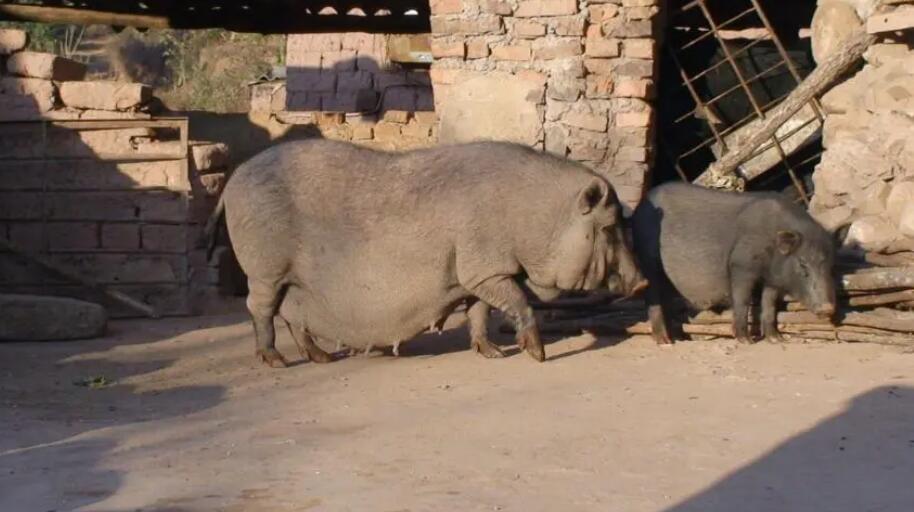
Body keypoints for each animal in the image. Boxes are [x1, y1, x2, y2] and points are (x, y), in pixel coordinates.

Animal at [628, 182, 832, 346]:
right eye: (803, 264)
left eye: (830, 265)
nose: (828, 309)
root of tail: (639, 207)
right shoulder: (740, 264)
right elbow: (743, 300)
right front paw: (746, 341)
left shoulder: (773, 278)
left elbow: (769, 303)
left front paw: (776, 339)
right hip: (648, 259)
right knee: (652, 296)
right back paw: (665, 341)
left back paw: (678, 337)